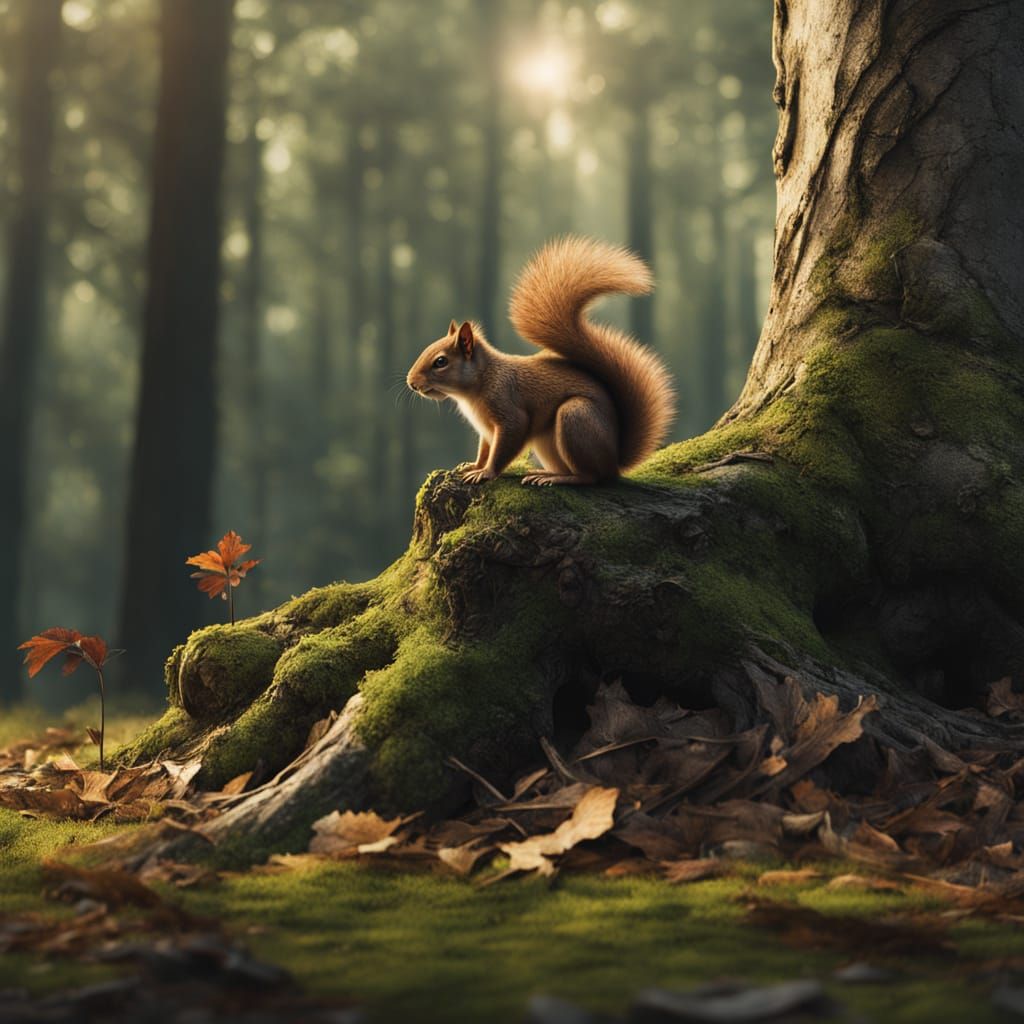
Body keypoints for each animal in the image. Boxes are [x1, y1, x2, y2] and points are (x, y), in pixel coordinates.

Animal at [405, 236, 676, 486]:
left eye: (440, 362)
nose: (411, 383)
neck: (481, 381)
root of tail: (615, 461)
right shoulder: (486, 431)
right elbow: (484, 450)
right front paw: (472, 465)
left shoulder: (509, 412)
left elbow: (504, 447)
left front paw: (486, 473)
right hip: (547, 442)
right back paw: (545, 473)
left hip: (575, 416)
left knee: (590, 476)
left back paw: (559, 479)